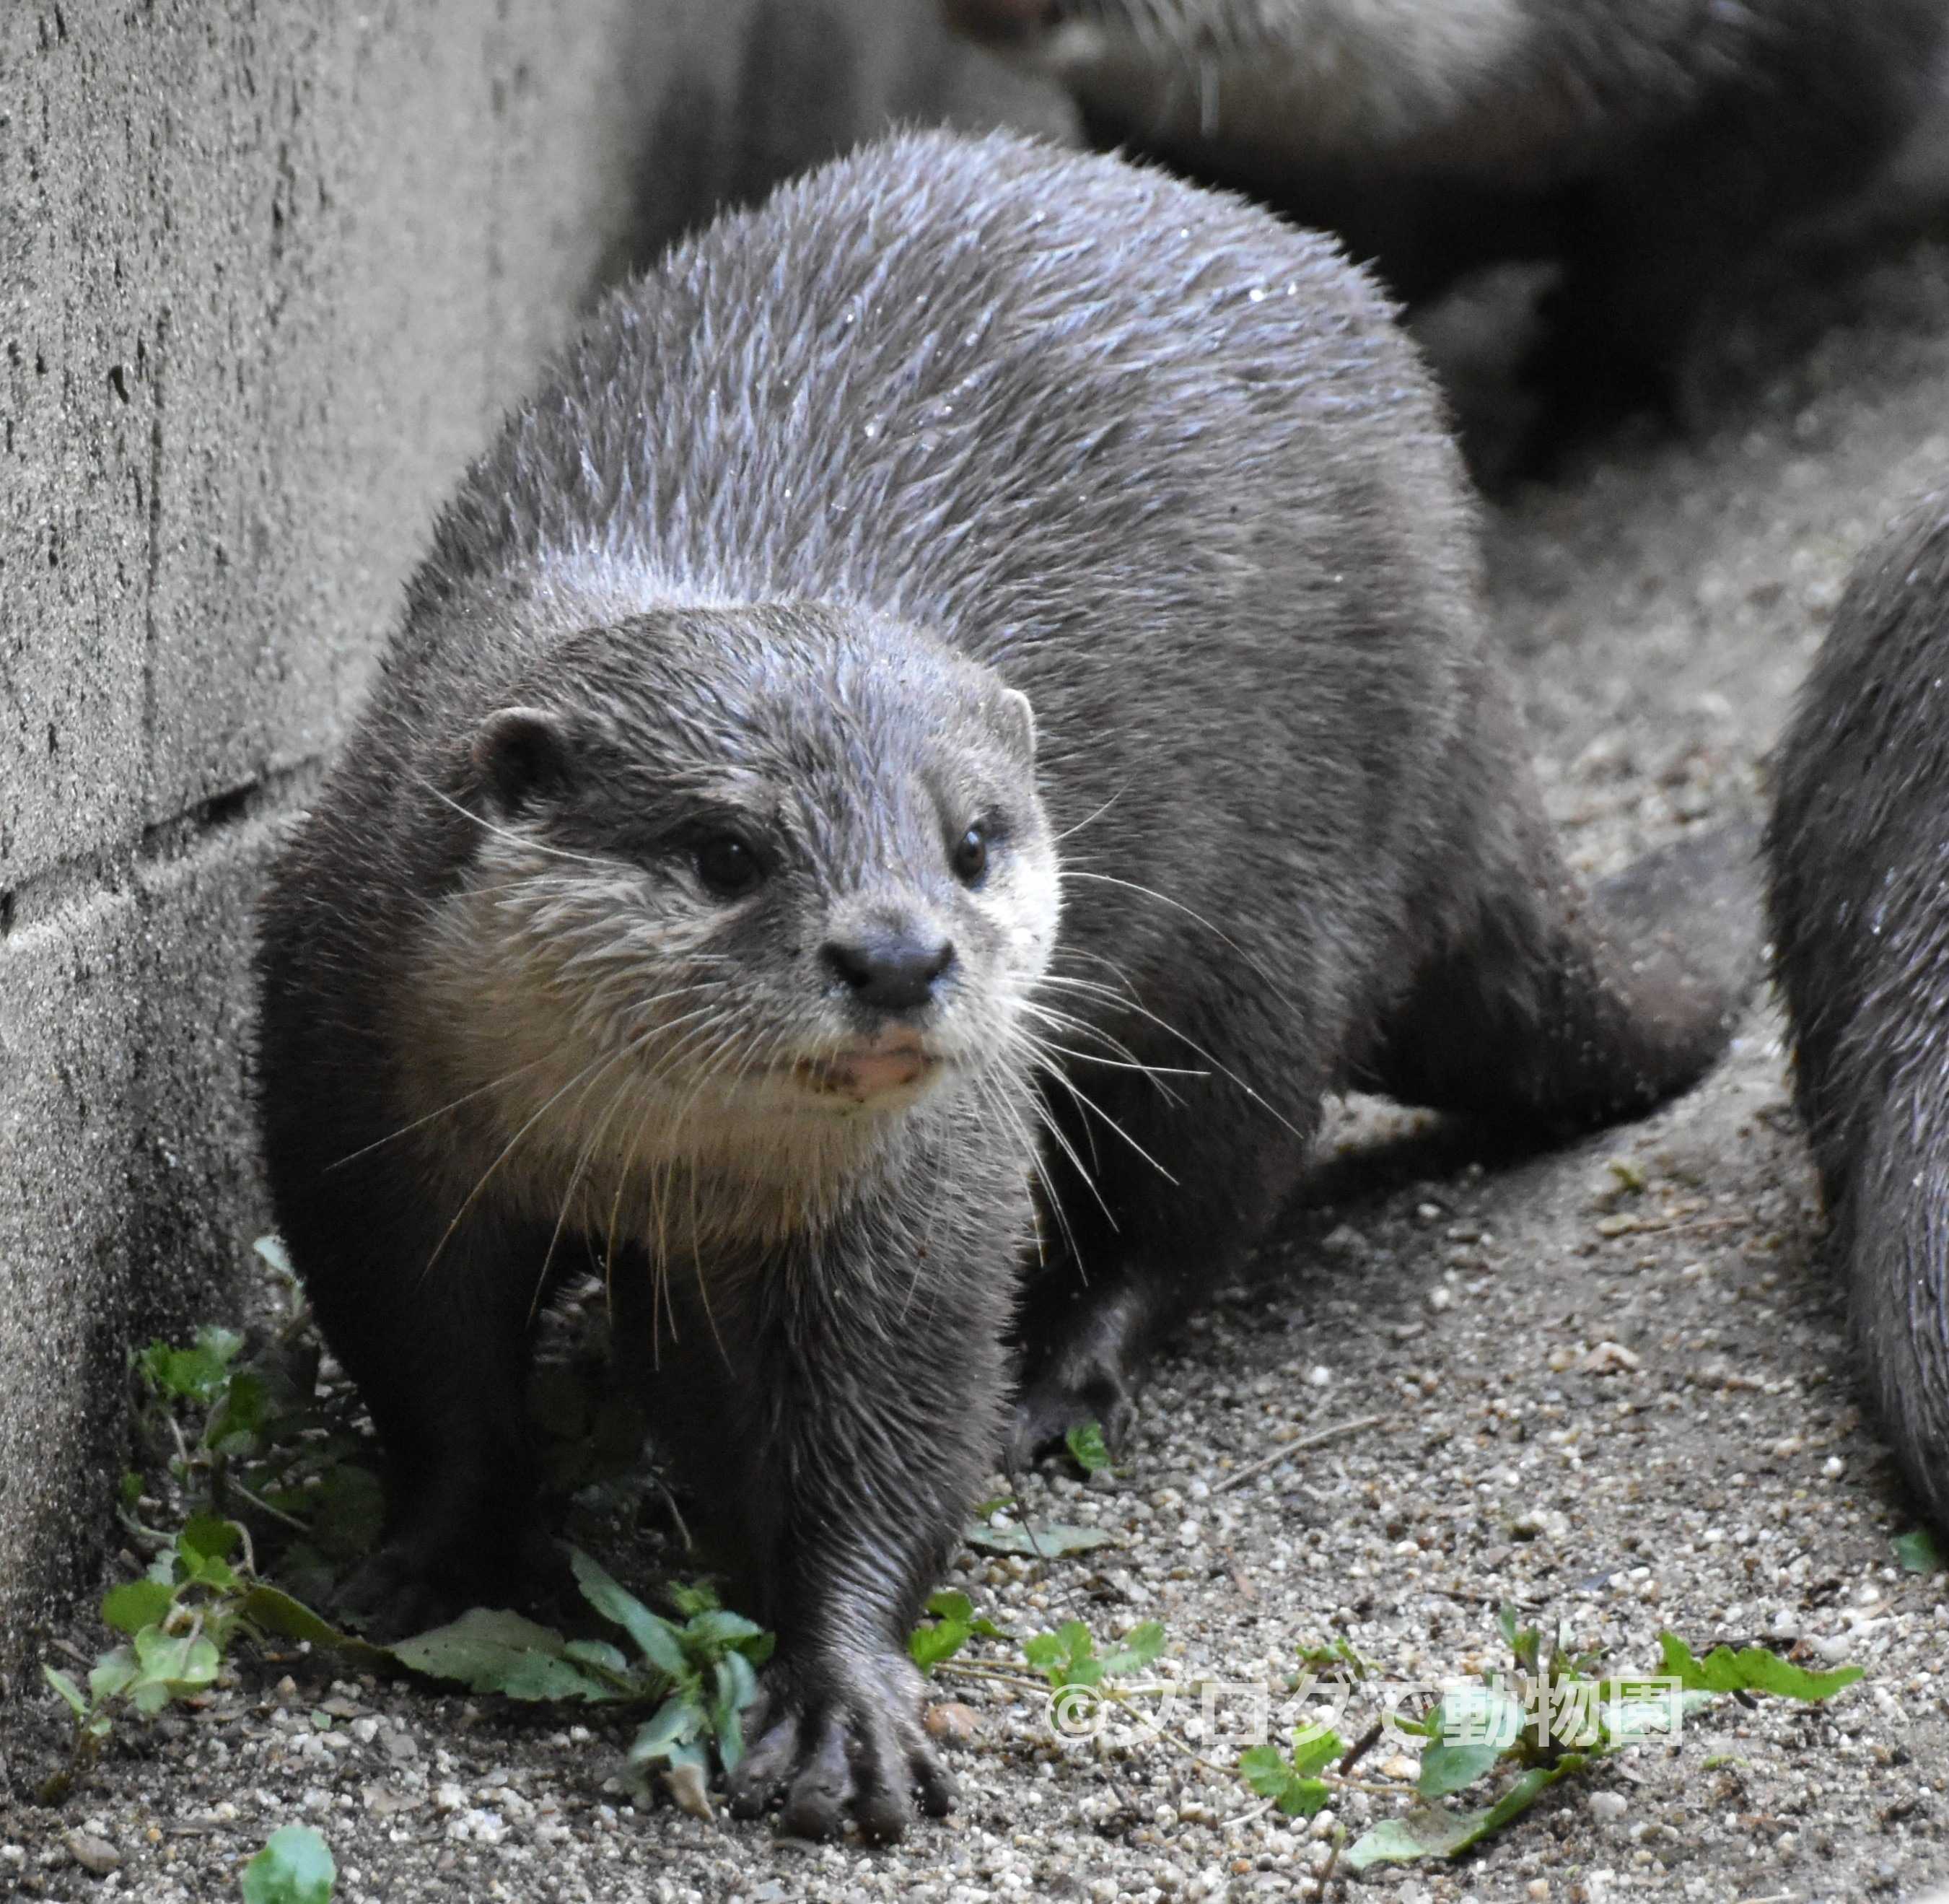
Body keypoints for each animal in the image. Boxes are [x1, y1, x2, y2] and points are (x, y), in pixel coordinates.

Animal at [255, 123, 1753, 1839]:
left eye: (971, 839)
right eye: (721, 848)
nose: (900, 951)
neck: (641, 1161)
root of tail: (1468, 631)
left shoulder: (926, 1179)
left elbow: (898, 1415)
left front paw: (845, 1694)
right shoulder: (348, 1083)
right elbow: (426, 1372)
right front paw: (420, 1561)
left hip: (1265, 934)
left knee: (1210, 1183)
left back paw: (1060, 1368)